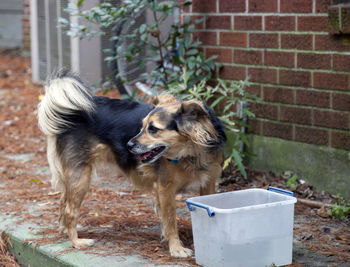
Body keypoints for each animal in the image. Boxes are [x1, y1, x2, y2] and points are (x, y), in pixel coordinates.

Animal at [37, 70, 226, 258]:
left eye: (153, 129)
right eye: (142, 127)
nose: (128, 145)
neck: (191, 152)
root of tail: (70, 112)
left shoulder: (208, 184)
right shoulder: (165, 189)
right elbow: (171, 220)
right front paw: (176, 248)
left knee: (63, 201)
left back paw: (64, 230)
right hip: (81, 176)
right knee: (70, 209)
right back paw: (76, 241)